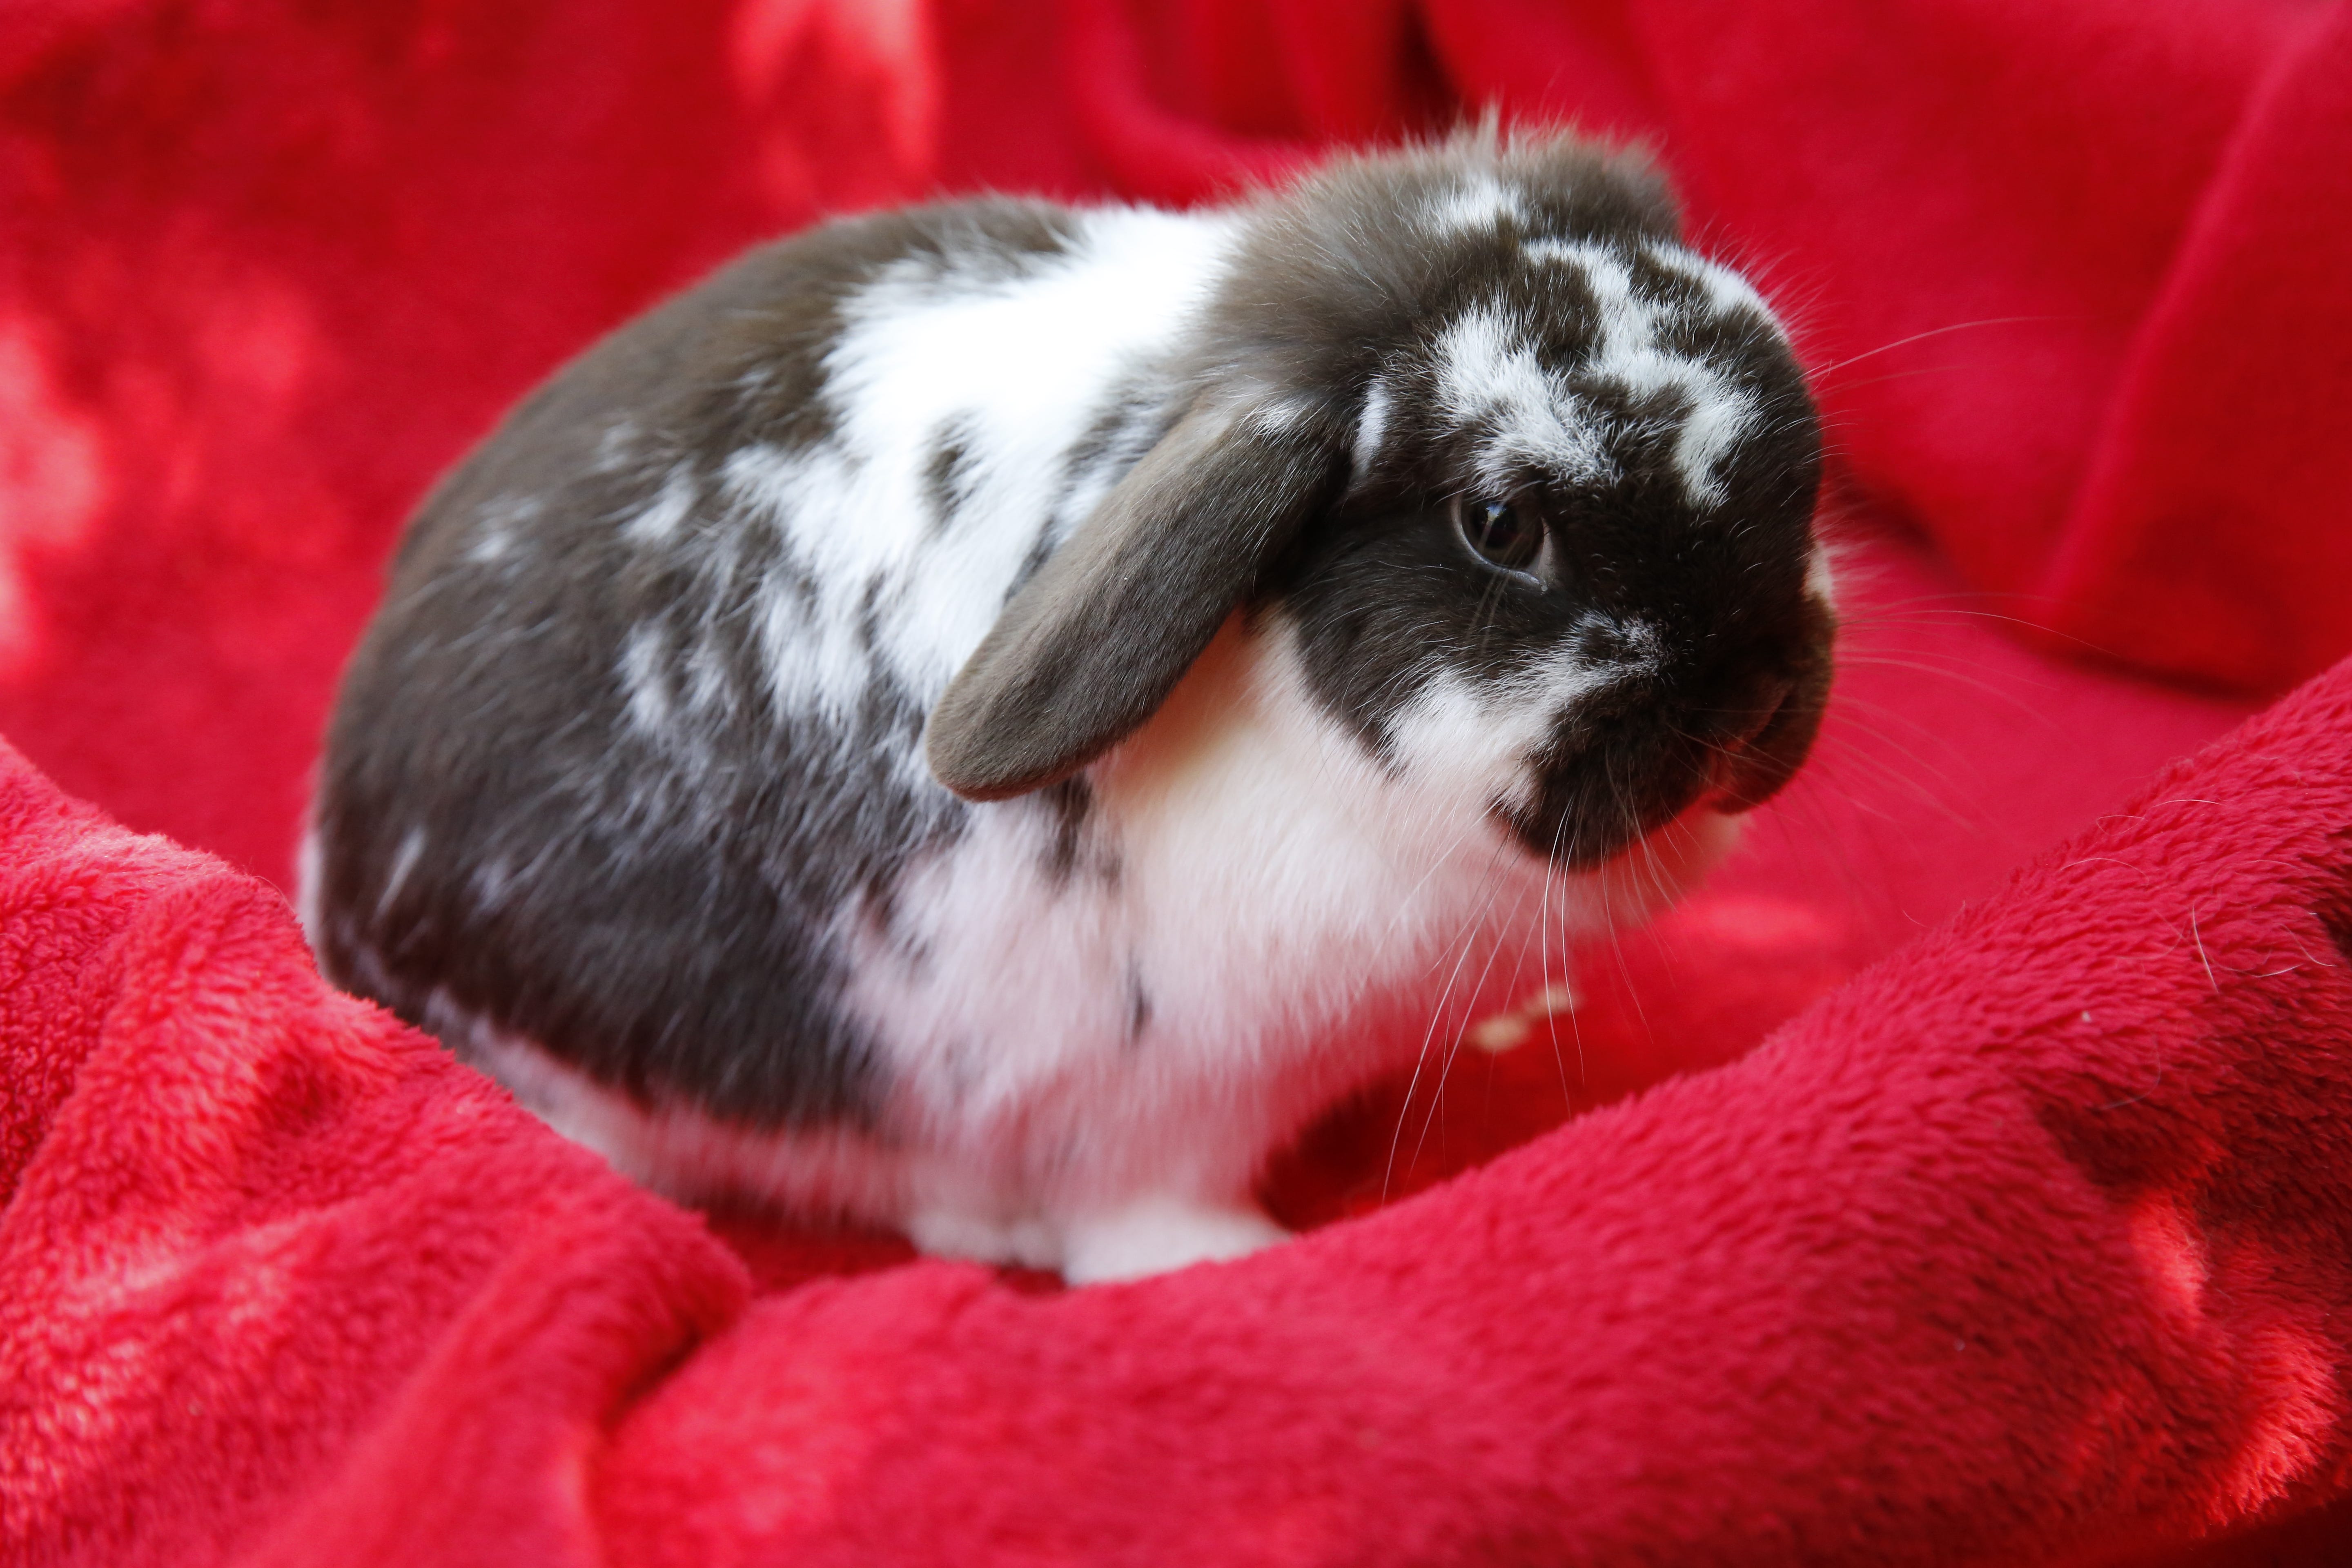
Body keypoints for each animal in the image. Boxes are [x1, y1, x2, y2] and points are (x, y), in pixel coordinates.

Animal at [299, 127, 1833, 1284]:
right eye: (1501, 524)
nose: (1751, 695)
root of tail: (337, 876)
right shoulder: (1158, 1101)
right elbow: (1150, 1214)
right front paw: (1236, 1263)